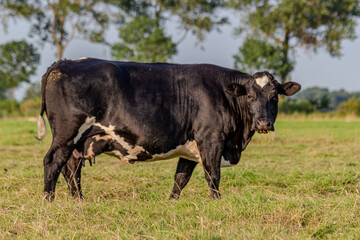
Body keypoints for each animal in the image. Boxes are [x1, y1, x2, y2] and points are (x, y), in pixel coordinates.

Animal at [36, 57, 300, 200]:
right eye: (251, 97)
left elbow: (181, 178)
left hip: (79, 141)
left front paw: (172, 201)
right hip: (67, 134)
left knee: (71, 169)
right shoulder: (211, 139)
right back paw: (49, 200)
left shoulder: (191, 147)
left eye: (274, 97)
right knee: (53, 163)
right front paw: (217, 201)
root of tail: (64, 62)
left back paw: (79, 201)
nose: (264, 123)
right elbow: (213, 175)